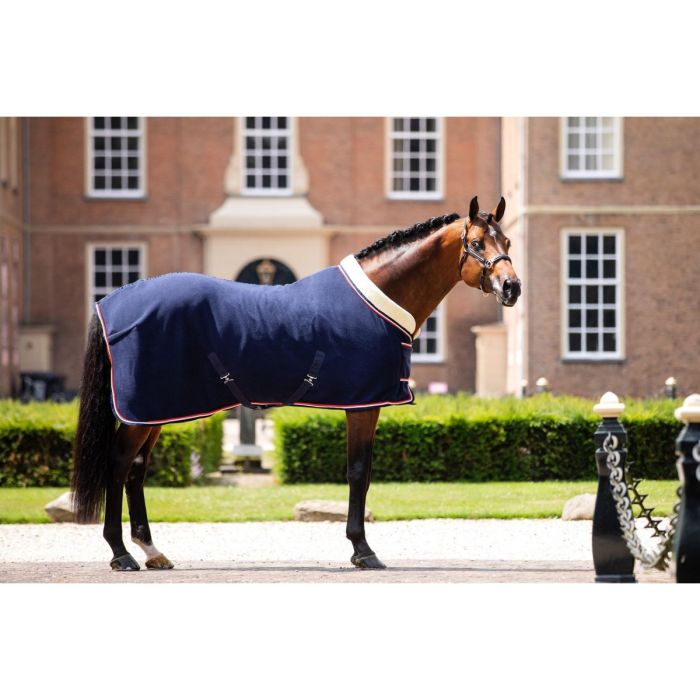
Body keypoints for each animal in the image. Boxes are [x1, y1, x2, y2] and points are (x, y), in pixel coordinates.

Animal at [71, 195, 521, 571]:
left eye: (507, 241)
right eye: (477, 243)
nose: (511, 287)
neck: (379, 298)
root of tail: (110, 302)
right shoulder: (364, 405)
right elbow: (359, 472)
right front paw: (363, 550)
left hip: (155, 411)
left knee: (136, 470)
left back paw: (152, 552)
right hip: (142, 412)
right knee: (117, 465)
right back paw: (121, 554)